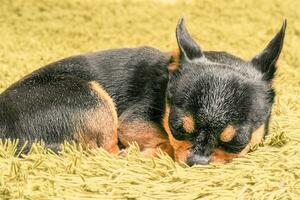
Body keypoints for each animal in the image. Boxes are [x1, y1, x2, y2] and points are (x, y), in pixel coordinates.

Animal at [0, 17, 286, 165]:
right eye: (177, 128)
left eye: (237, 142)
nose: (197, 162)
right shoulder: (132, 123)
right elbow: (164, 141)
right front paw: (158, 149)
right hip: (91, 99)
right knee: (107, 153)